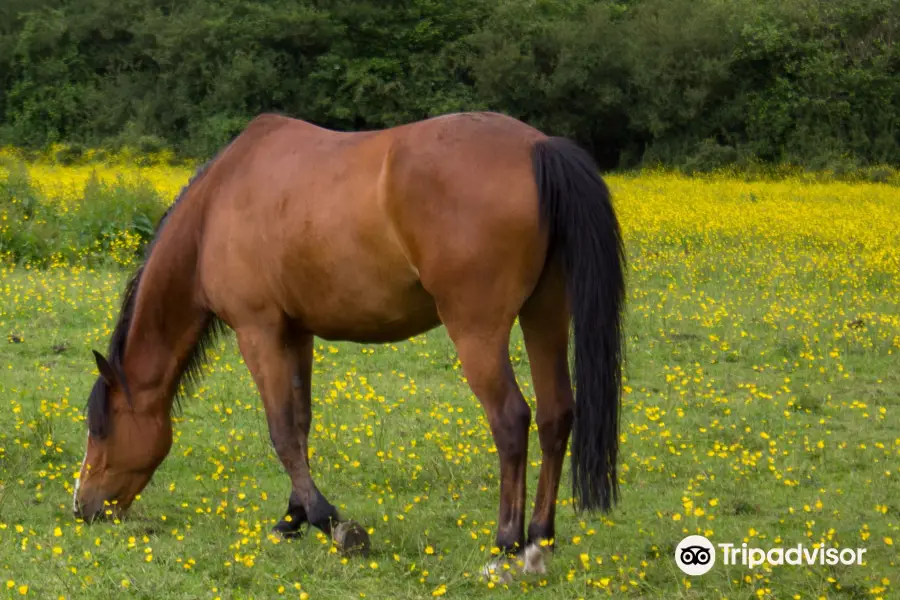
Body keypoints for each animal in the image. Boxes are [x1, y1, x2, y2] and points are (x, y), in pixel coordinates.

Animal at [72, 111, 624, 576]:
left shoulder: (258, 331)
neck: (217, 206)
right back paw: (539, 540)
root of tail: (538, 147)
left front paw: (331, 523)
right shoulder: (296, 332)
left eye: (100, 428)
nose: (82, 507)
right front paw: (292, 518)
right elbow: (300, 425)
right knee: (556, 415)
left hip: (478, 331)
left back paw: (505, 543)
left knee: (511, 420)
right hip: (544, 316)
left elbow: (280, 432)